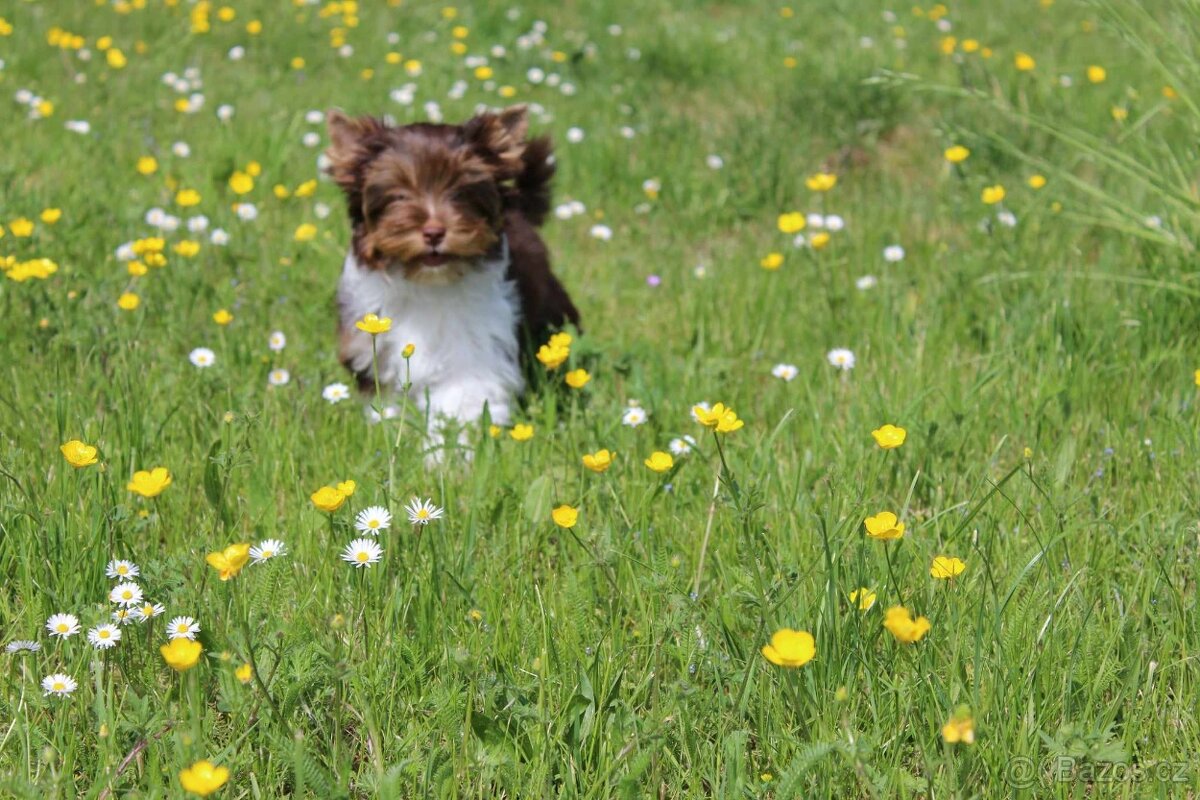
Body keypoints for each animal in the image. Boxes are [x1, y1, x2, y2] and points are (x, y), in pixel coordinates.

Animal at [324, 104, 576, 453]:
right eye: (399, 194)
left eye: (460, 191)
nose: (433, 231)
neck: (428, 283)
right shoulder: (373, 344)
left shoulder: (474, 351)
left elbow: (464, 400)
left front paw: (445, 457)